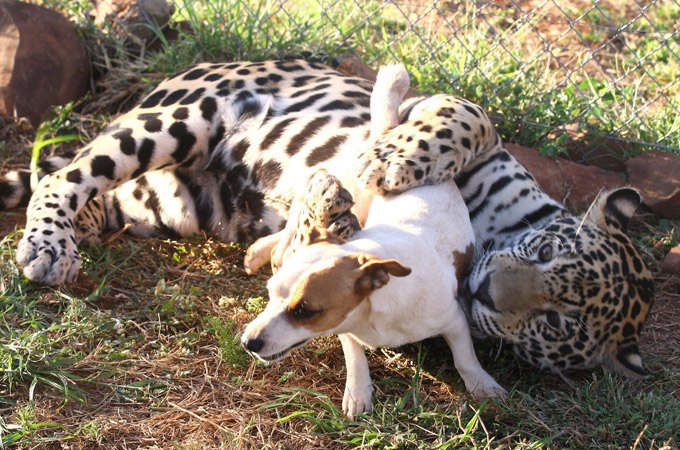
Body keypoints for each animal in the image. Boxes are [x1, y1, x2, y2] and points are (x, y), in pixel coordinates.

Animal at [0, 58, 652, 378]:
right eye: (545, 252)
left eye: (554, 323)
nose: (486, 289)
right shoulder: (459, 122)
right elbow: (468, 115)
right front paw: (390, 161)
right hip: (181, 119)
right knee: (65, 175)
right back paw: (47, 247)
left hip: (172, 206)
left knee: (99, 199)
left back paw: (76, 234)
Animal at [242, 63, 502, 418]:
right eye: (269, 295)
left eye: (305, 311)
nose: (248, 342)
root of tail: (387, 134)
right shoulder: (347, 328)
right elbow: (355, 354)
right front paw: (358, 391)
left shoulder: (454, 321)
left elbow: (465, 357)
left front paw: (482, 384)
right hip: (344, 191)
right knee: (293, 229)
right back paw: (261, 251)